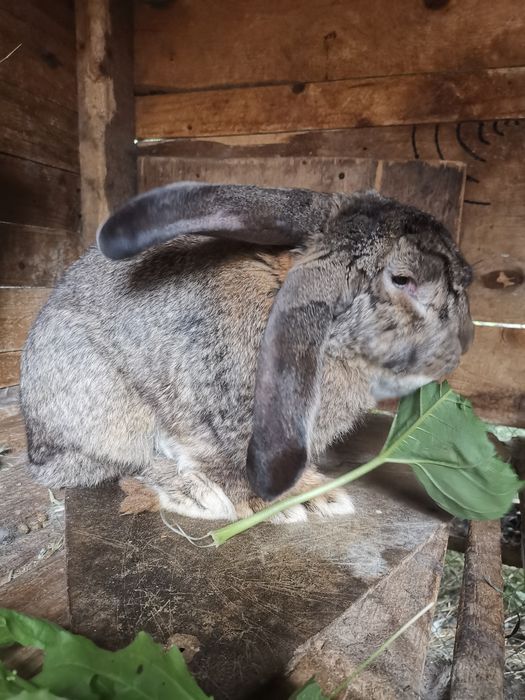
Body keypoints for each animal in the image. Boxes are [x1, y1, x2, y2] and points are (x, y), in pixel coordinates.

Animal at [20, 182, 474, 522]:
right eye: (404, 279)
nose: (465, 340)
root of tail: (37, 445)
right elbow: (229, 465)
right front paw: (293, 503)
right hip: (111, 408)